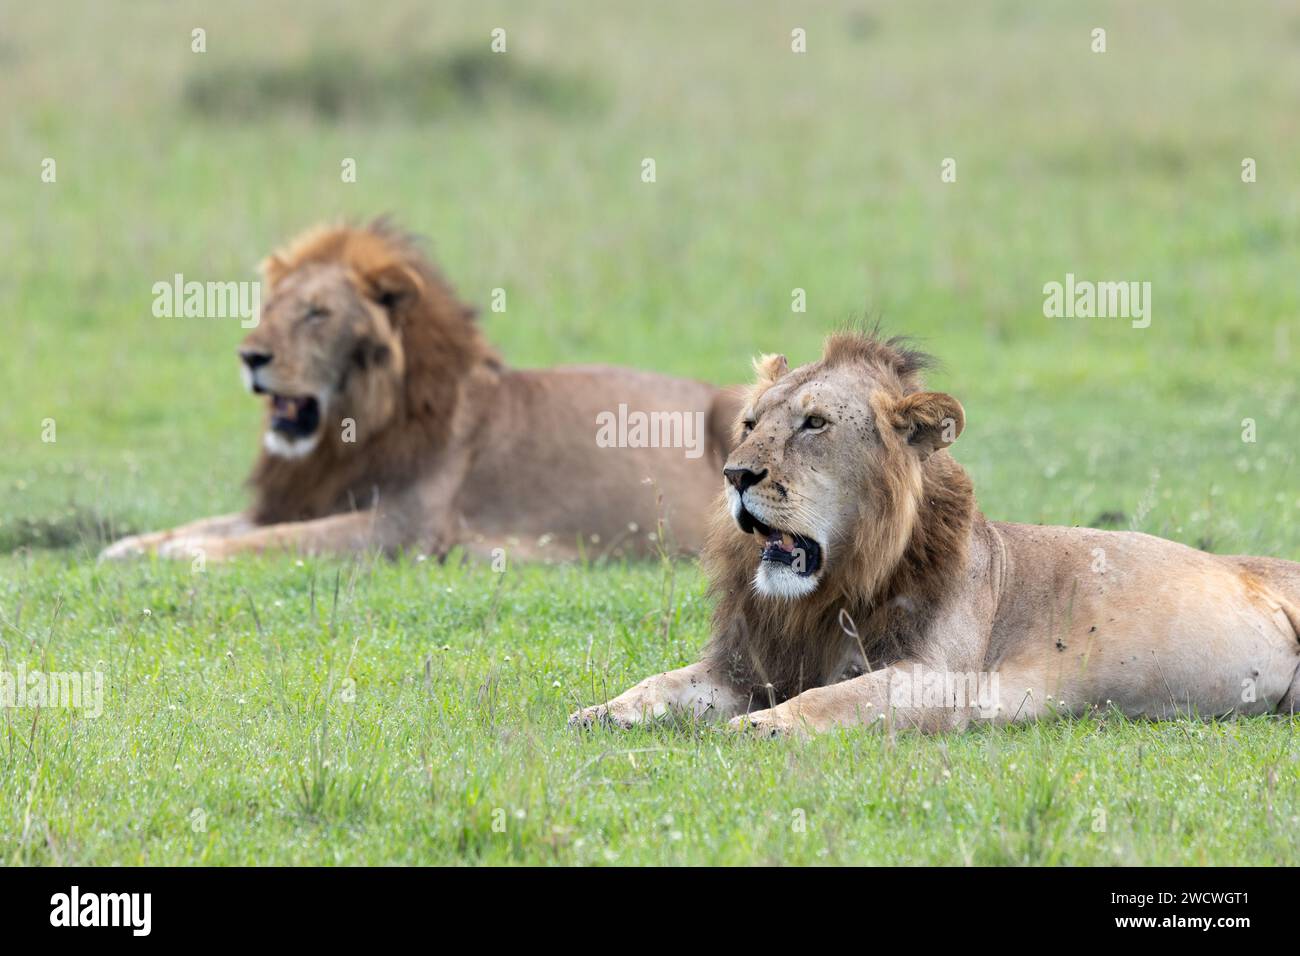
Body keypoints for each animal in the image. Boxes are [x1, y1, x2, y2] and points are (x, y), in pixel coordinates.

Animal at [101, 220, 740, 563]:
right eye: (270, 307)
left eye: (316, 313)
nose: (250, 356)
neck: (342, 438)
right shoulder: (301, 498)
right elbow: (216, 524)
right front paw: (130, 547)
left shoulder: (404, 527)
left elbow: (274, 541)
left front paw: (185, 556)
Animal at [571, 331, 1300, 735]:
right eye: (750, 424)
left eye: (814, 424)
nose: (735, 473)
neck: (824, 596)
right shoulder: (748, 663)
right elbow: (661, 682)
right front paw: (601, 711)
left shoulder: (940, 678)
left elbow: (836, 699)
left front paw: (765, 725)